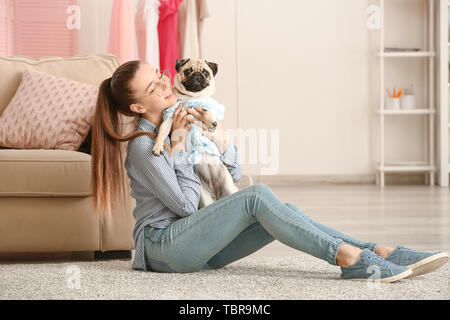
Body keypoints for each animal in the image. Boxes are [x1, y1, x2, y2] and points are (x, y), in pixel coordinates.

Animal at [151, 58, 239, 209]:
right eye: (188, 70)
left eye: (205, 72)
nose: (197, 74)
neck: (190, 99)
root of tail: (216, 192)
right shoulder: (170, 116)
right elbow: (162, 131)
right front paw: (158, 145)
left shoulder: (209, 106)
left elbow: (207, 111)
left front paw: (210, 123)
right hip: (204, 197)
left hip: (230, 188)